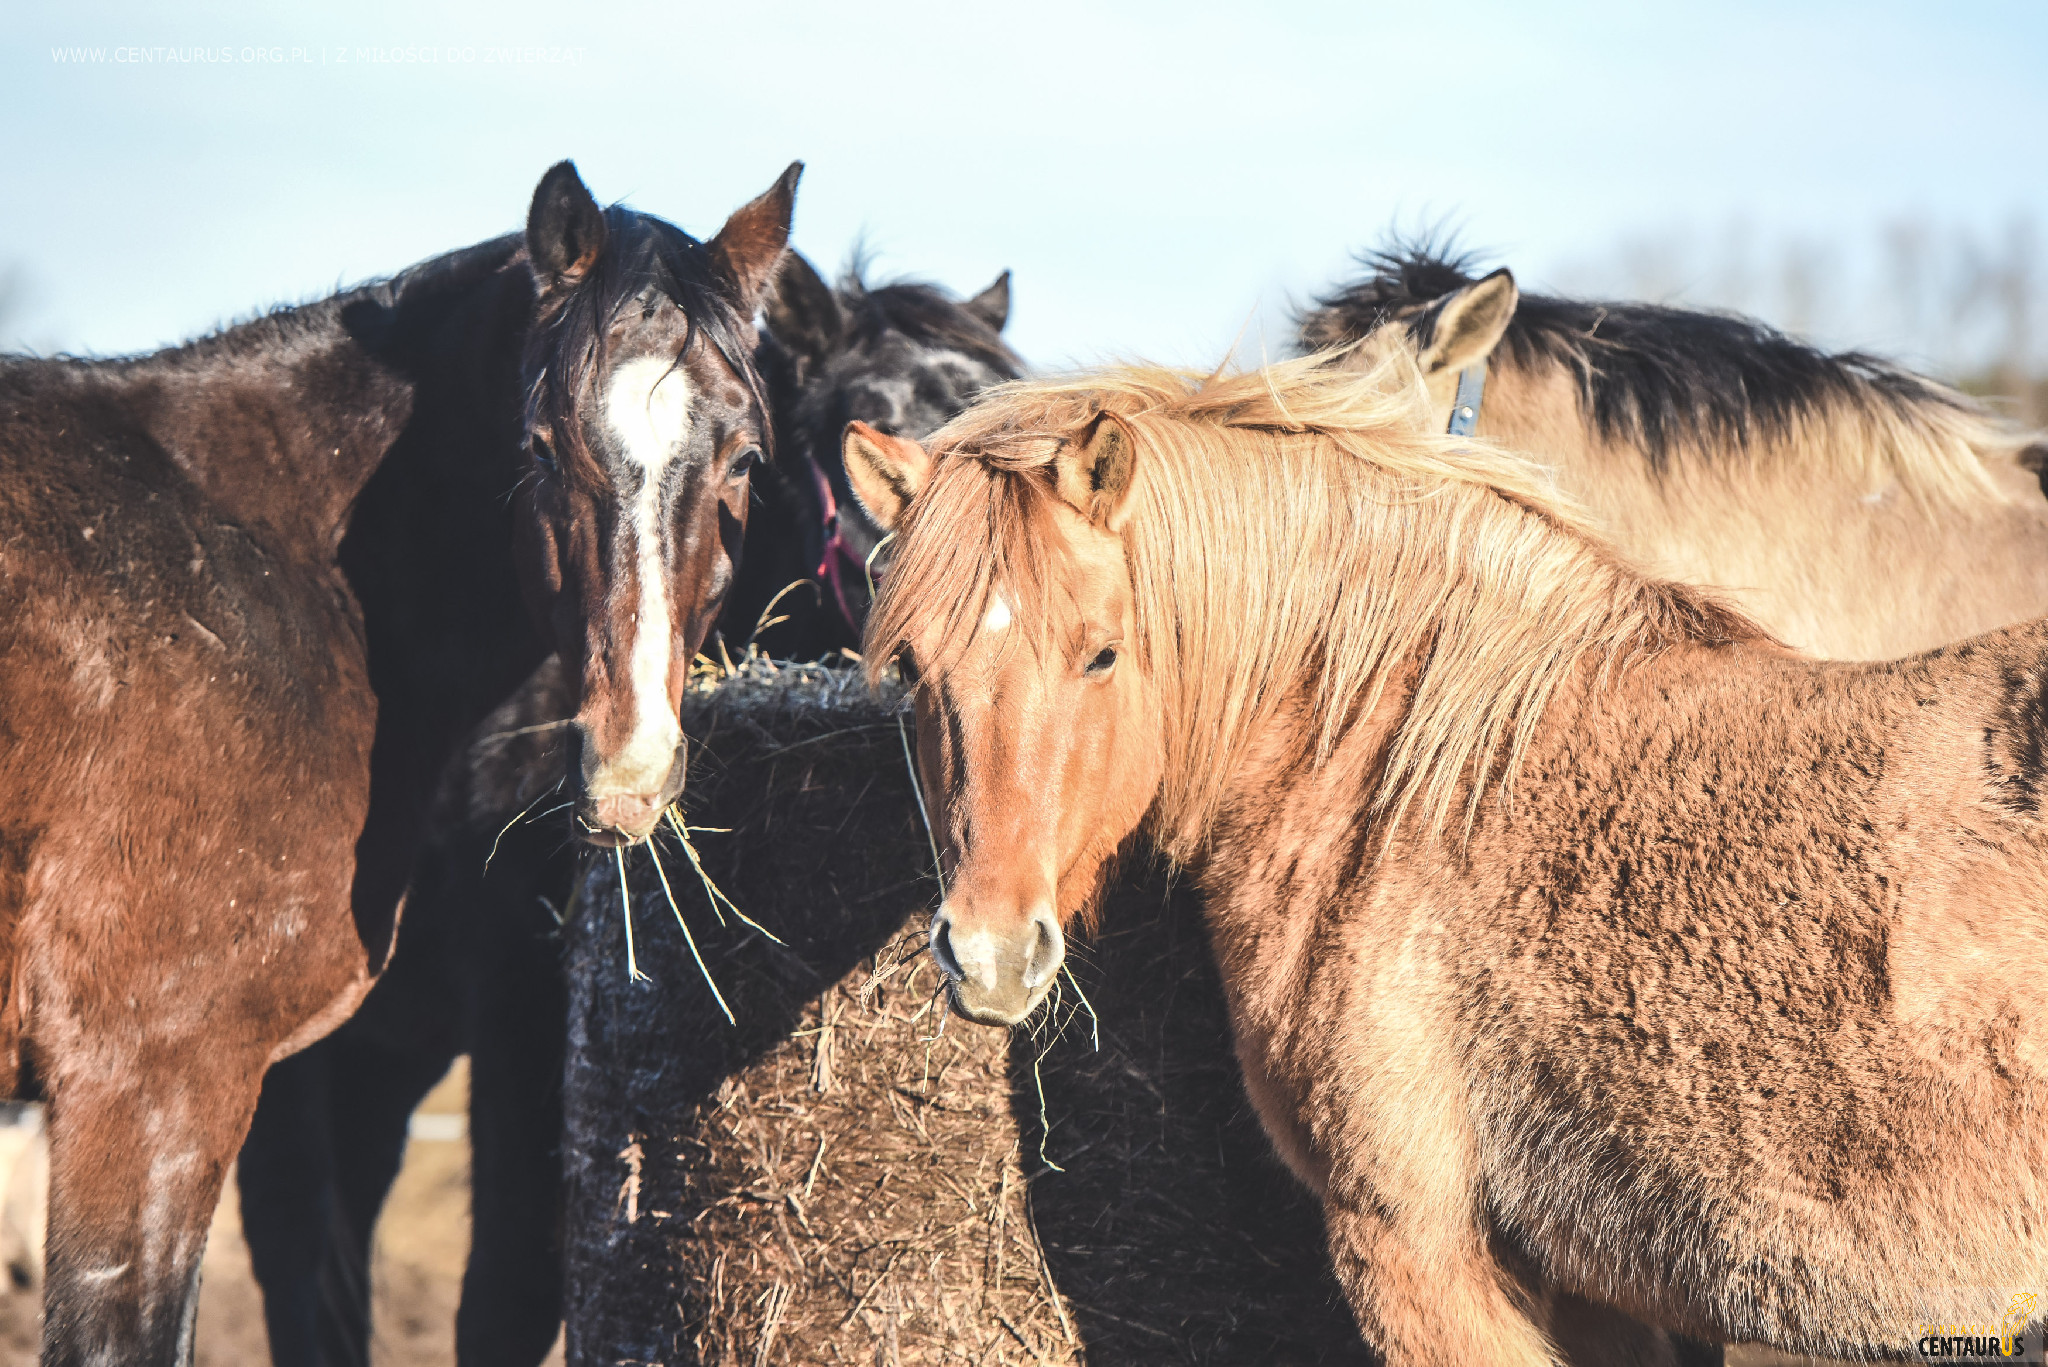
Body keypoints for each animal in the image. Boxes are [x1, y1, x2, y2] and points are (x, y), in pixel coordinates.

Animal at [843, 360, 2048, 1367]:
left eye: (1099, 653)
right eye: (910, 669)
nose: (988, 952)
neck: (1423, 782)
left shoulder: (1422, 1254)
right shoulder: (1598, 1291)